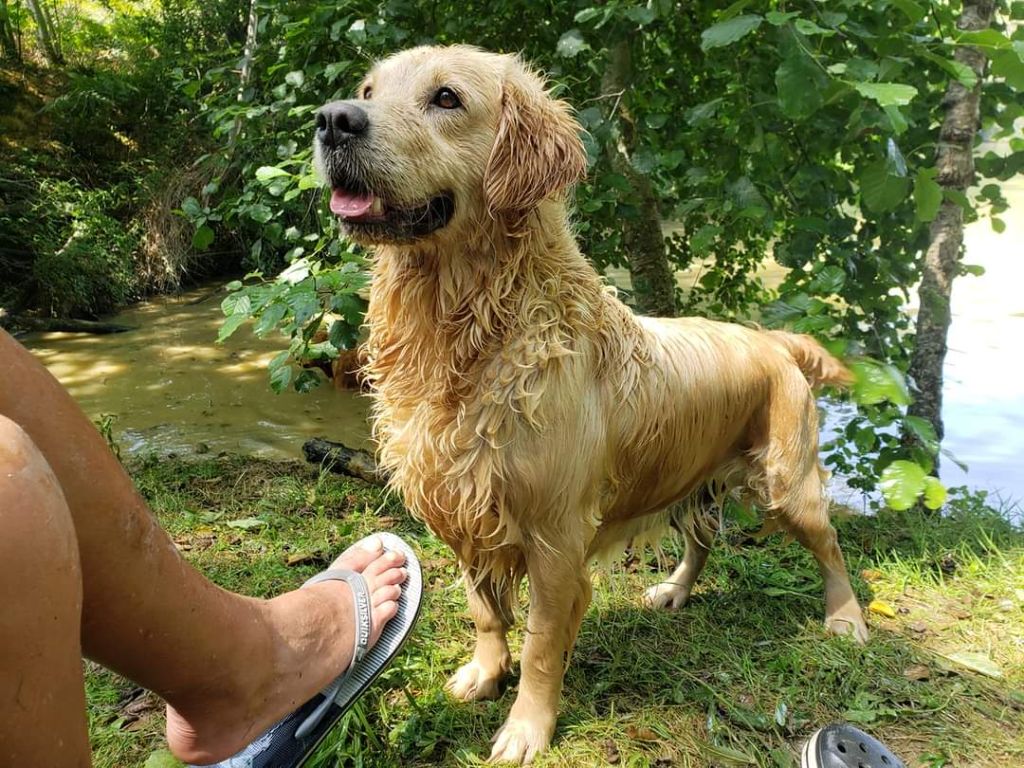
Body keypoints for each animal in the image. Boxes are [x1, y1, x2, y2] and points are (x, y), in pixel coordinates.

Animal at [311, 46, 864, 765]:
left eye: (446, 98)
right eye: (370, 90)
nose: (333, 120)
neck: (476, 327)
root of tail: (771, 337)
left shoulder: (555, 537)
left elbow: (543, 644)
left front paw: (527, 728)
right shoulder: (463, 509)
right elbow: (485, 611)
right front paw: (483, 675)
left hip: (787, 486)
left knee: (830, 547)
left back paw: (846, 619)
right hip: (687, 481)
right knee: (703, 542)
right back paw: (674, 591)